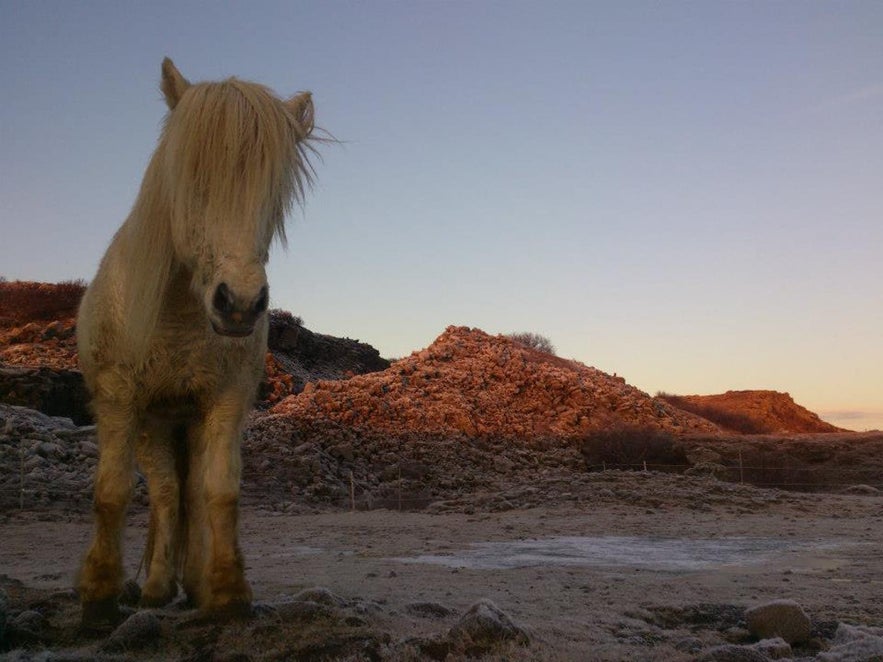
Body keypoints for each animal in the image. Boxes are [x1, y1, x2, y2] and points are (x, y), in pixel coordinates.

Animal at [76, 55, 318, 628]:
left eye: (272, 193)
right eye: (192, 180)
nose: (240, 304)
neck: (180, 312)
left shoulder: (225, 403)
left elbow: (219, 491)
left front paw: (227, 592)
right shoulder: (119, 401)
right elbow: (112, 492)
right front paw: (98, 597)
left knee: (182, 495)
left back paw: (187, 585)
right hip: (153, 429)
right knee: (165, 494)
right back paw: (155, 588)